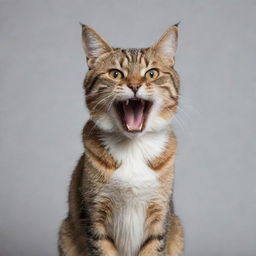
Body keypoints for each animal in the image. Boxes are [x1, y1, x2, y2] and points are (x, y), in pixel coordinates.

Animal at [57, 23, 184, 255]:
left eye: (152, 73)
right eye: (115, 74)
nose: (134, 85)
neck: (133, 147)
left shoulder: (160, 214)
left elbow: (154, 245)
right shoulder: (94, 215)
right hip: (66, 232)